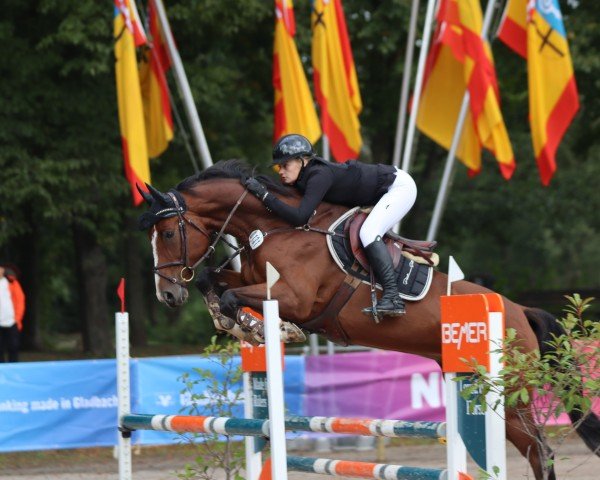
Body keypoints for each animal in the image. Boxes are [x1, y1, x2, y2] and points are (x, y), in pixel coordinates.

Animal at [139, 159, 600, 478]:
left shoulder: (295, 297)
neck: (272, 225)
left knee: (539, 450)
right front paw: (229, 319)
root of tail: (520, 310)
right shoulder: (254, 278)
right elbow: (214, 280)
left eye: (168, 233)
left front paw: (260, 326)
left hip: (508, 391)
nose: (167, 294)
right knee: (536, 450)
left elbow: (237, 295)